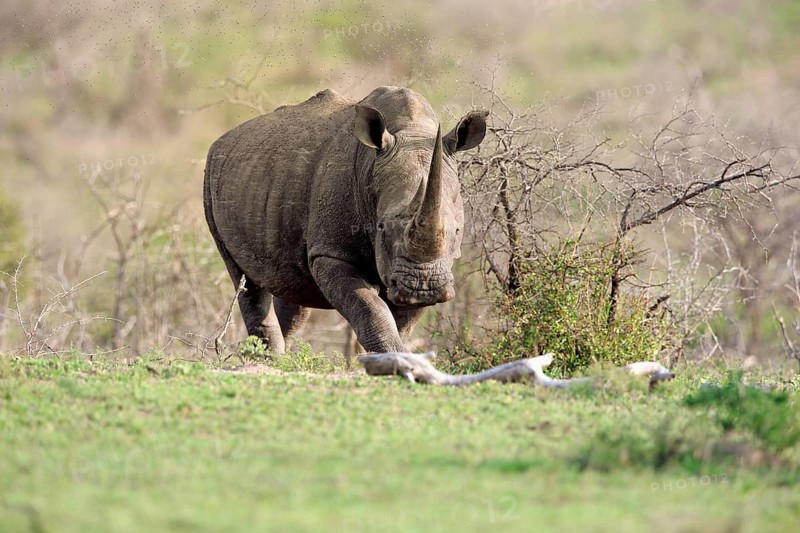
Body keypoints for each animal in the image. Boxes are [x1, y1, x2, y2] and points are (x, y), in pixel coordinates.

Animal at [204, 86, 488, 354]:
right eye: (382, 227)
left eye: (457, 230)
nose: (423, 286)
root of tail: (222, 139)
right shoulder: (331, 253)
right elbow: (370, 309)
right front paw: (395, 356)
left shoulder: (436, 269)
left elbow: (404, 321)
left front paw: (396, 356)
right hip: (211, 178)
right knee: (245, 281)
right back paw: (271, 359)